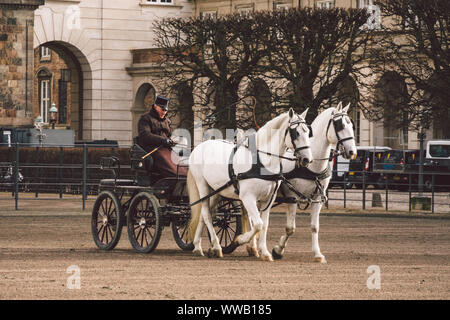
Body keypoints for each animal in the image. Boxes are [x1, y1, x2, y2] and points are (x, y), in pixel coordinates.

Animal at [186, 109, 312, 262]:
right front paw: (240, 240)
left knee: (205, 214)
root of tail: (199, 147)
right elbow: (258, 224)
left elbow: (264, 225)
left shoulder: (268, 199)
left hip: (216, 192)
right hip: (202, 186)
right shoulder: (248, 197)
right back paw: (216, 247)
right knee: (206, 214)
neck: (263, 161)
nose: (307, 159)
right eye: (296, 133)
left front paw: (264, 252)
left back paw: (198, 246)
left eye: (307, 131)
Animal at [268, 102, 356, 262]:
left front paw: (318, 254)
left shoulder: (318, 198)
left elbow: (315, 227)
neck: (312, 166)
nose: (353, 152)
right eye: (340, 125)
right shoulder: (293, 197)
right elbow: (290, 228)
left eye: (352, 125)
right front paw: (278, 250)